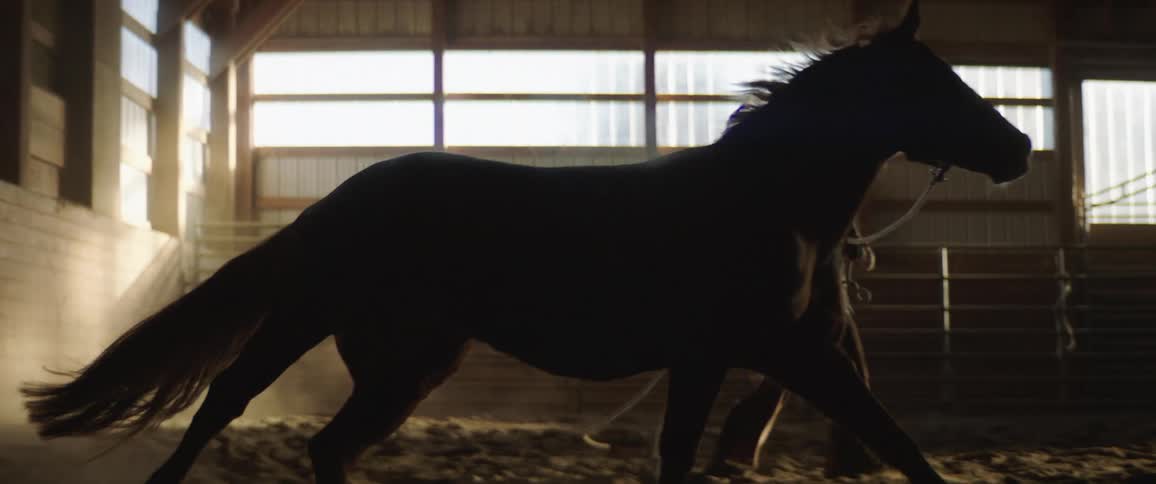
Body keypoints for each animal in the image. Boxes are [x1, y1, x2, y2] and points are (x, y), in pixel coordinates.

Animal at [22, 1, 1031, 483]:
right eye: (936, 84)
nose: (1020, 147)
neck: (768, 205)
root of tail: (331, 204)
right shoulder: (747, 354)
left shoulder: (787, 357)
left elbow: (894, 445)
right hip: (314, 321)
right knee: (226, 402)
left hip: (407, 363)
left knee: (329, 446)